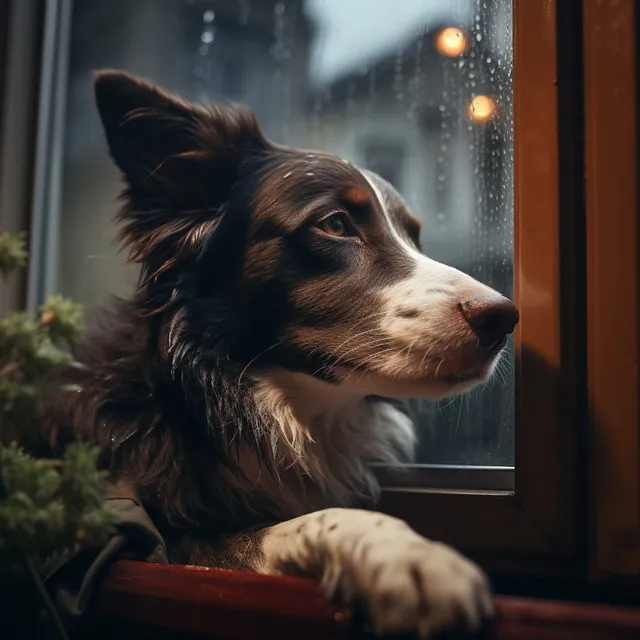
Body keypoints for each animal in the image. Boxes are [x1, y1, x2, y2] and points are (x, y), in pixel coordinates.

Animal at [45, 71, 516, 640]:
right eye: (335, 224)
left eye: (416, 236)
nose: (504, 318)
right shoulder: (160, 543)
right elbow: (307, 522)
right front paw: (406, 556)